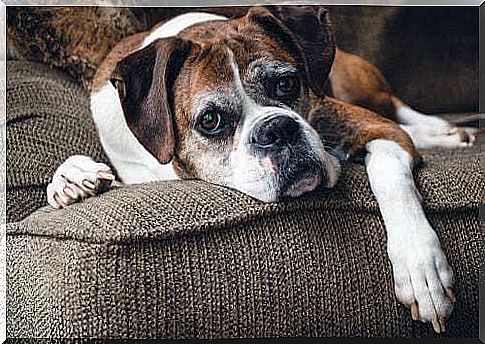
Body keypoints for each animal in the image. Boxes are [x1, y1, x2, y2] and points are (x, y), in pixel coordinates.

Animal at [45, 6, 472, 334]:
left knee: (398, 106)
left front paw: (421, 269)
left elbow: (389, 175)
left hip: (361, 88)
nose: (277, 129)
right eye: (211, 120)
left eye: (287, 84)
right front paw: (71, 179)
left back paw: (446, 132)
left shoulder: (378, 130)